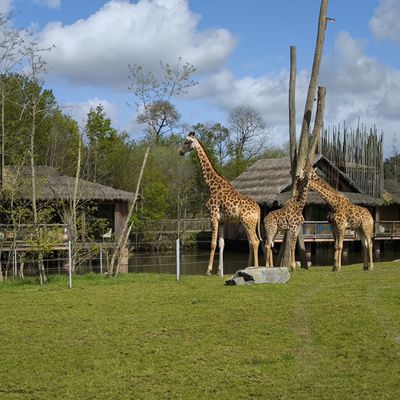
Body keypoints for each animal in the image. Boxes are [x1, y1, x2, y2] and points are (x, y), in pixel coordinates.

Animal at [179, 131, 262, 276]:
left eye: (186, 142)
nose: (180, 151)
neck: (212, 186)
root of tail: (258, 209)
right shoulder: (222, 221)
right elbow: (222, 244)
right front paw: (219, 271)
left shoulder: (212, 216)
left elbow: (212, 244)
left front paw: (208, 270)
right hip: (247, 223)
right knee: (251, 242)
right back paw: (247, 267)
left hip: (248, 222)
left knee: (255, 241)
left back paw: (255, 268)